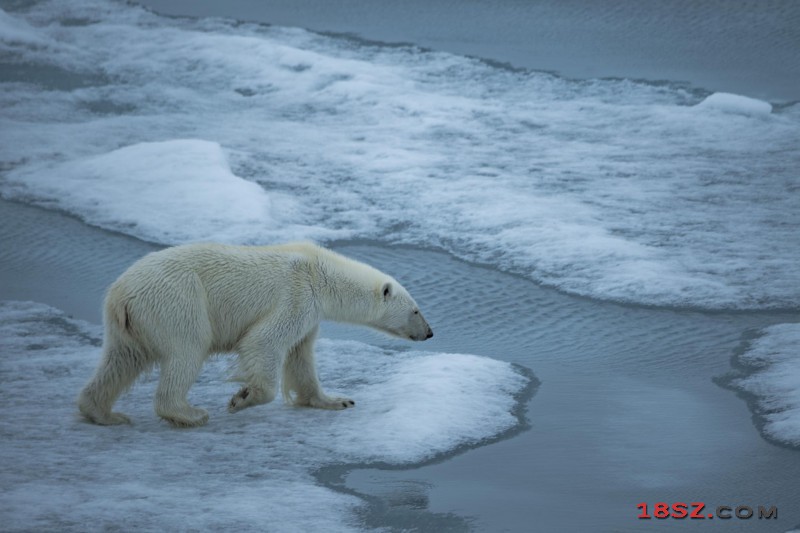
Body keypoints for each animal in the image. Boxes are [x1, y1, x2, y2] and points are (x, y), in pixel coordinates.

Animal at [78, 243, 434, 426]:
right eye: (416, 310)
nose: (430, 333)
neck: (320, 272)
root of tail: (121, 294)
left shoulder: (309, 315)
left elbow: (301, 357)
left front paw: (337, 400)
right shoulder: (296, 296)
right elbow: (264, 341)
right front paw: (242, 397)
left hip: (130, 323)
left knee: (120, 360)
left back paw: (105, 414)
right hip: (178, 301)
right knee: (187, 349)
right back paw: (189, 413)